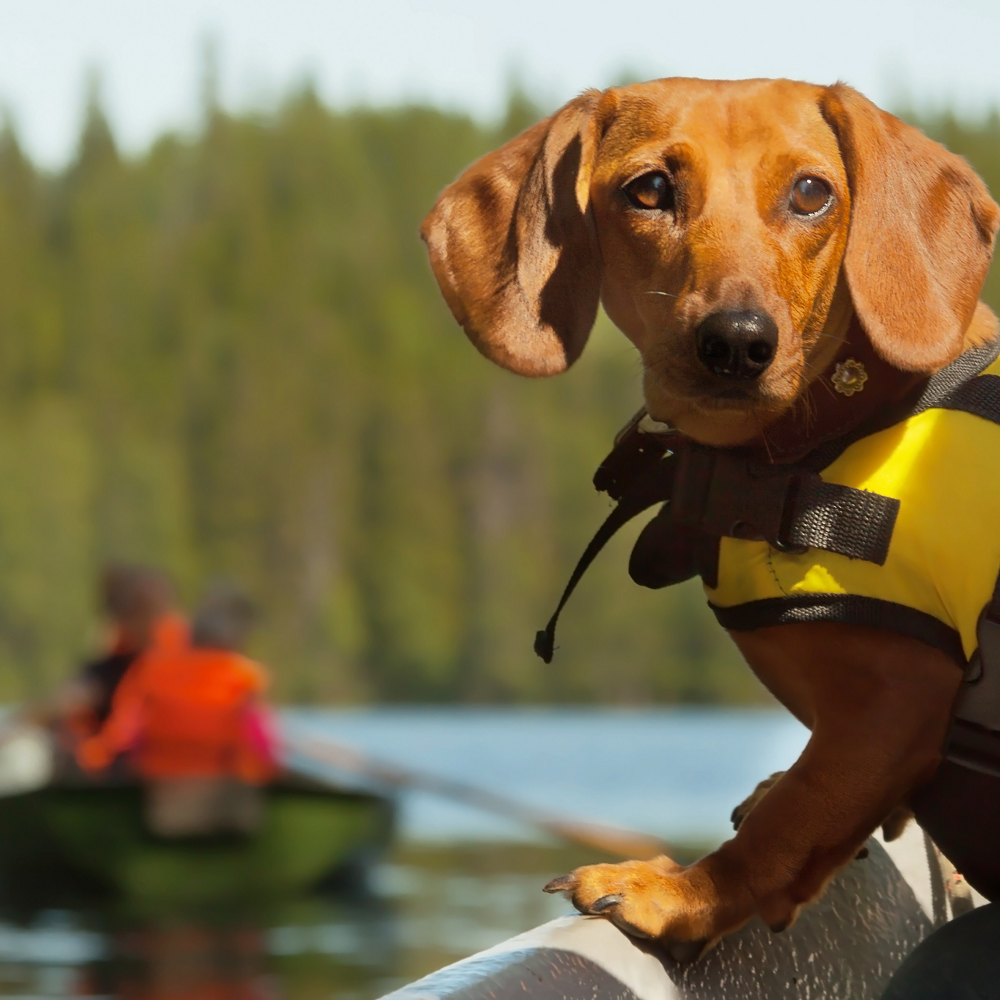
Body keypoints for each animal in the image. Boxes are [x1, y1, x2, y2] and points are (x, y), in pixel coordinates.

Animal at [420, 80, 1000, 960]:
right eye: (650, 188)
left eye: (811, 192)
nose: (736, 343)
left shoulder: (894, 704)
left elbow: (786, 827)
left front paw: (677, 891)